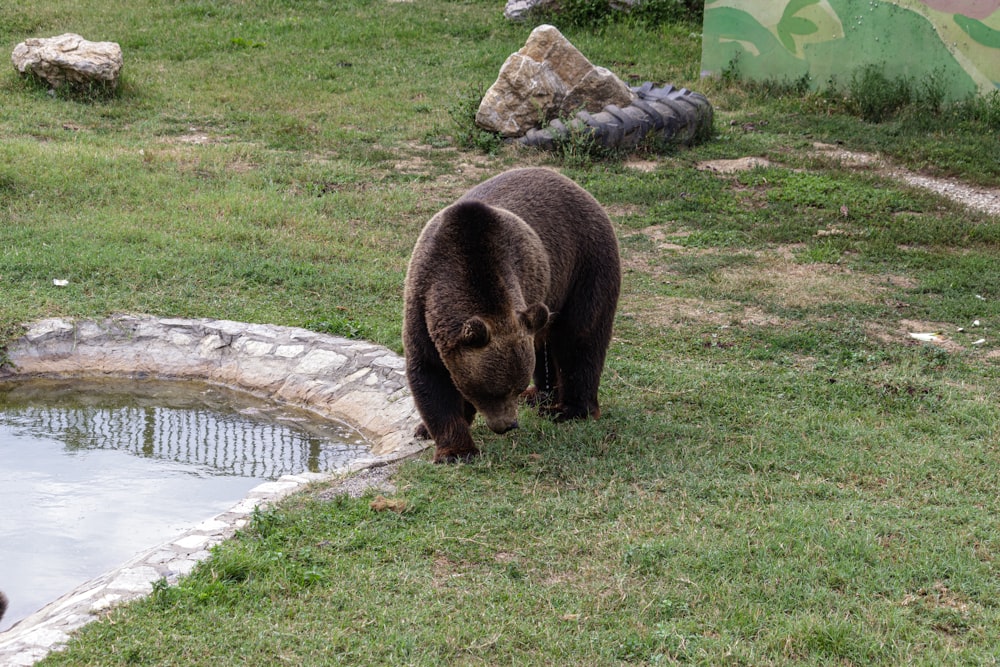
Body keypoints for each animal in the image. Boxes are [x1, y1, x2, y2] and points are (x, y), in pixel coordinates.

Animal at [402, 167, 620, 462]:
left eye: (512, 388)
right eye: (491, 392)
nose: (508, 425)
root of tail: (574, 184)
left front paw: (456, 448)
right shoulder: (421, 304)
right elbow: (430, 373)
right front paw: (442, 439)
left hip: (585, 265)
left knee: (580, 337)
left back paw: (568, 410)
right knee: (545, 344)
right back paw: (540, 395)